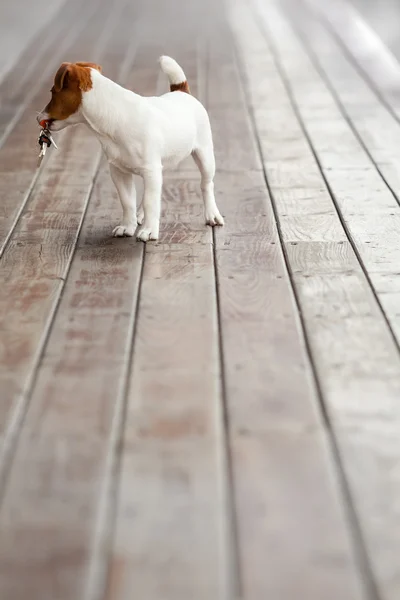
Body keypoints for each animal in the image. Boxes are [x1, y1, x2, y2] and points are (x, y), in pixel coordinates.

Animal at [36, 56, 225, 241]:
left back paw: (212, 214)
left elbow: (150, 202)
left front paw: (149, 231)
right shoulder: (119, 171)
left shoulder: (151, 170)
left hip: (204, 155)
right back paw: (140, 215)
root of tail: (181, 91)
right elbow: (127, 201)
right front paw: (128, 226)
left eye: (52, 92)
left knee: (206, 184)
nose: (38, 117)